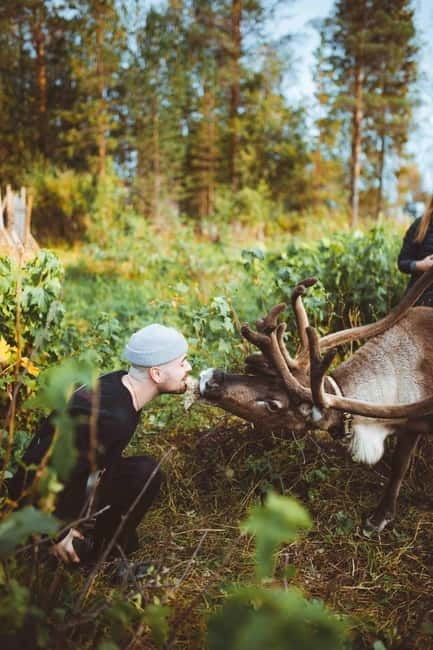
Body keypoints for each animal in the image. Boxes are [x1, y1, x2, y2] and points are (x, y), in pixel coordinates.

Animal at [199, 267, 433, 535]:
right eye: (261, 376)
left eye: (274, 405)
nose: (211, 379)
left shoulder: (412, 425)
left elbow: (398, 467)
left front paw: (378, 519)